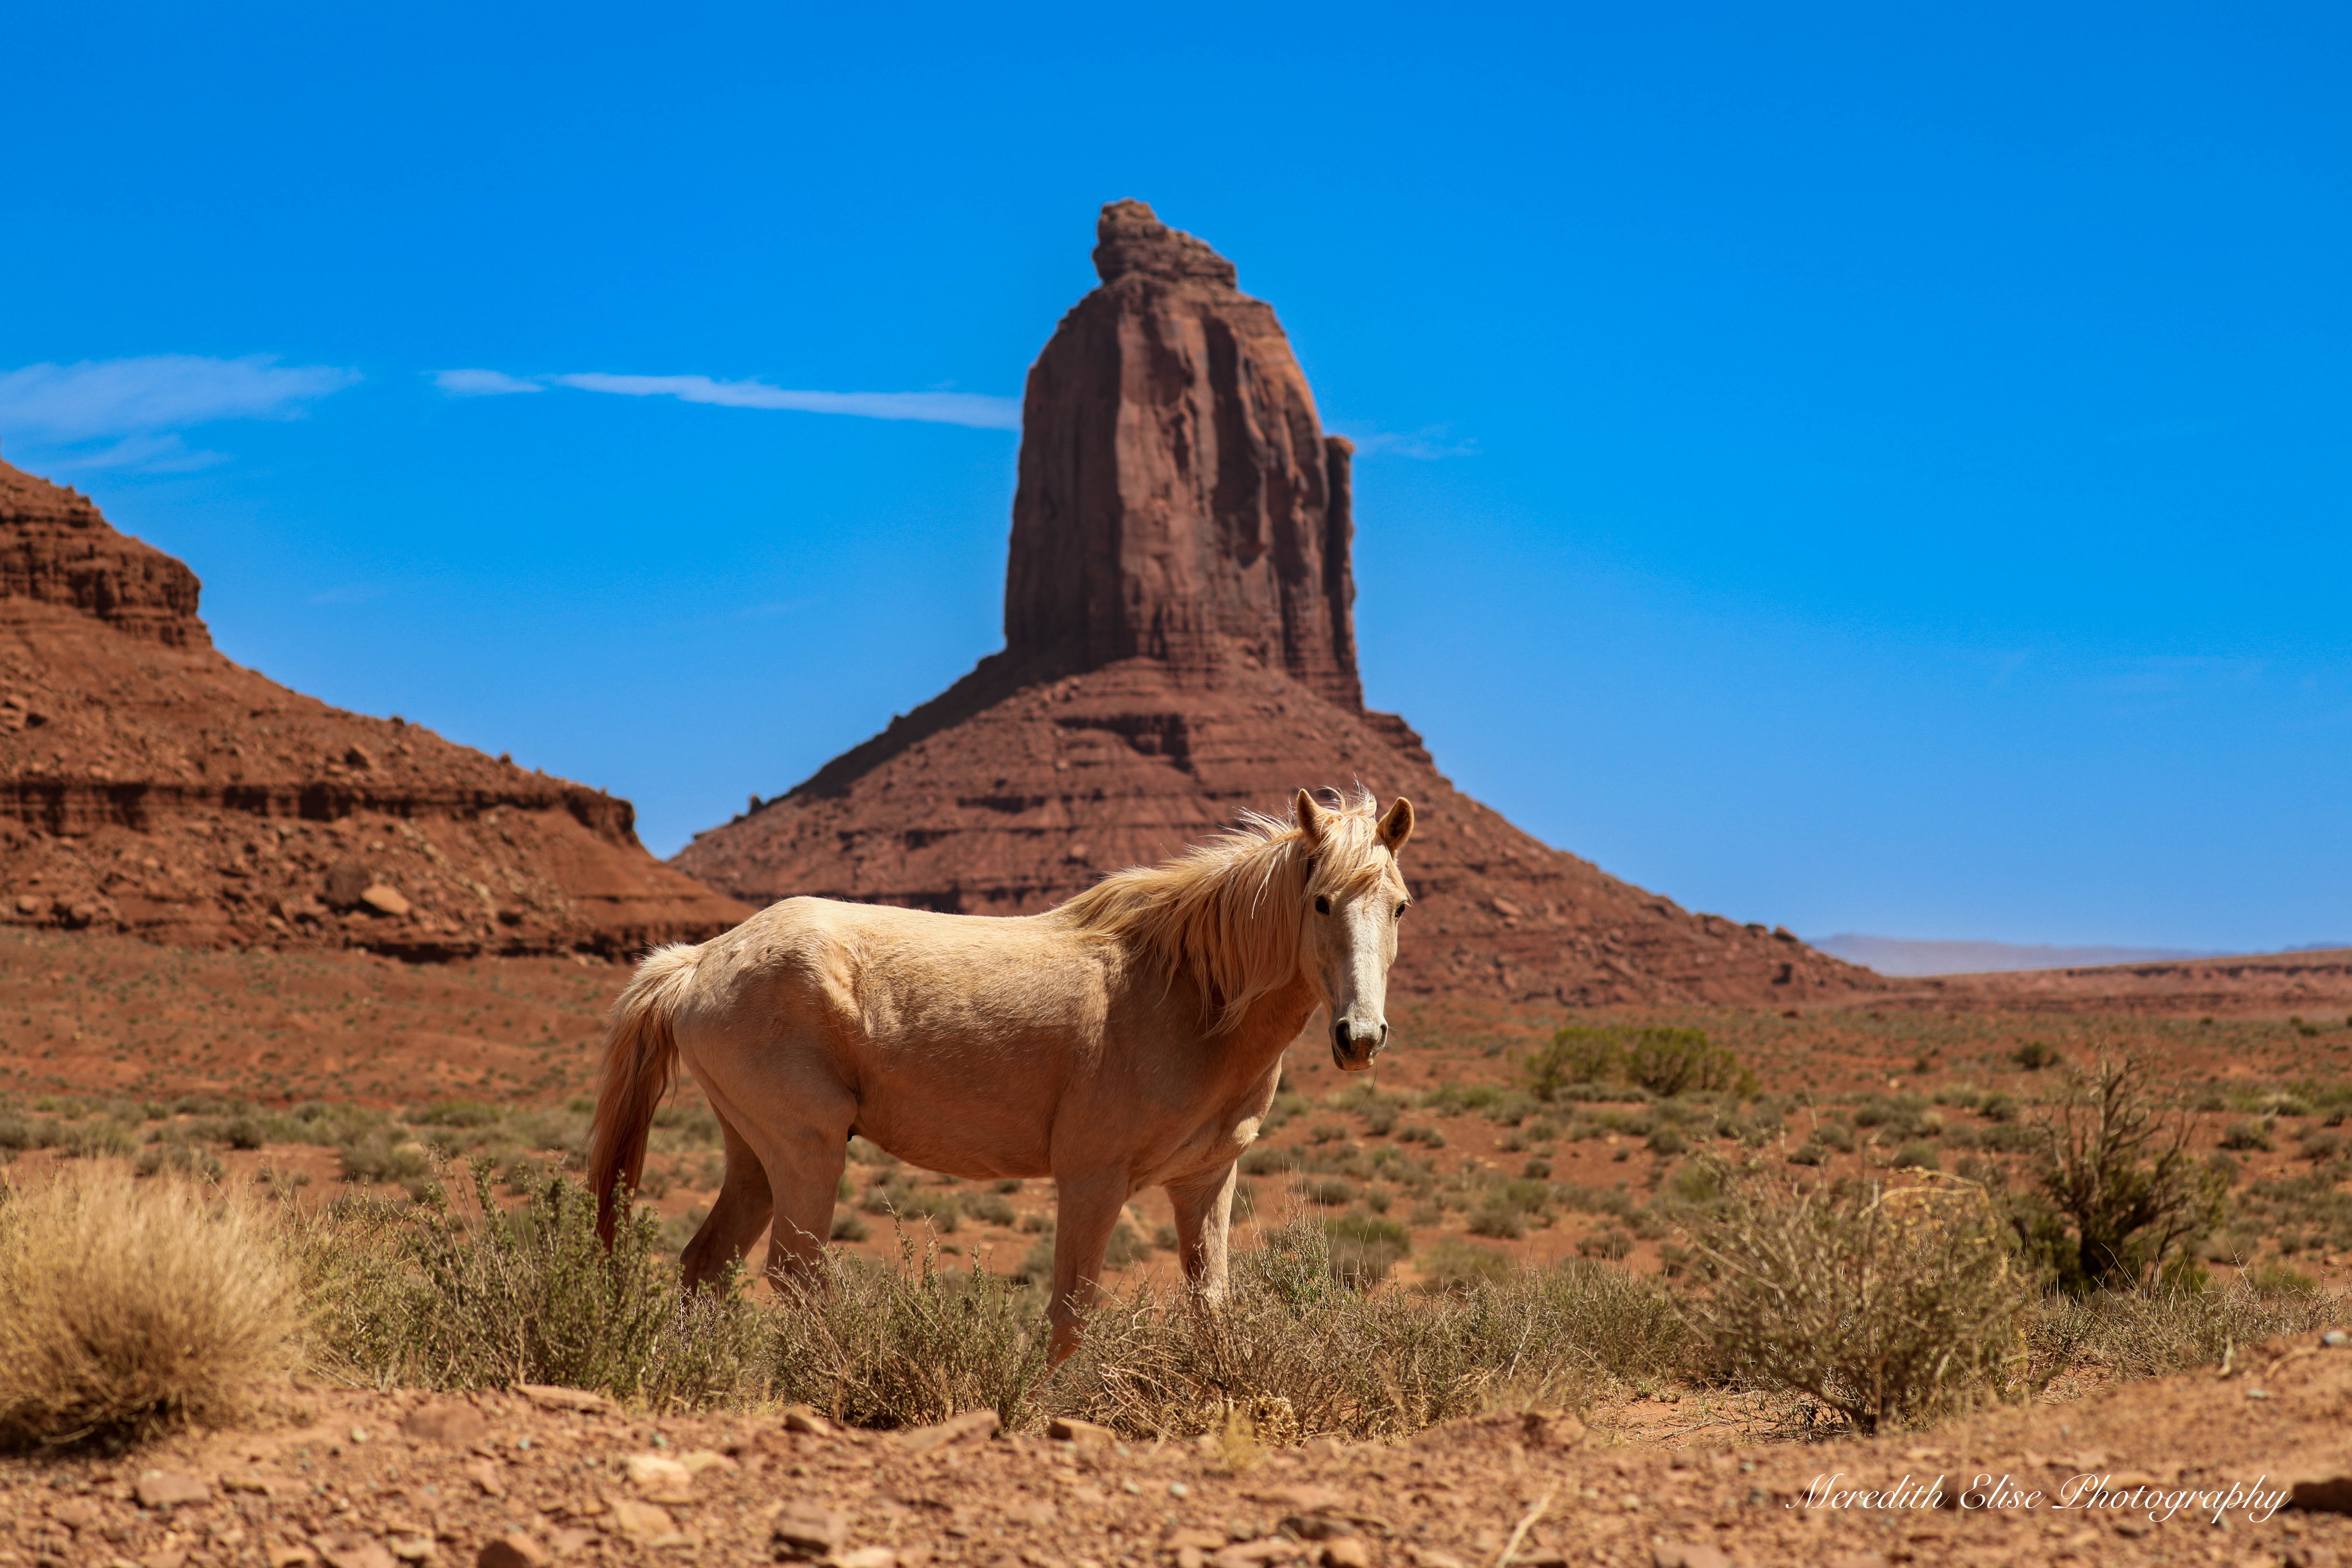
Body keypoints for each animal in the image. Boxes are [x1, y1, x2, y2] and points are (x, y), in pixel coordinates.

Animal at [587, 787, 1415, 1360]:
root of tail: (698, 961)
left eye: (1401, 905)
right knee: (797, 1276)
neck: (1189, 993)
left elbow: (1209, 1304)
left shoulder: (1206, 1179)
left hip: (755, 1155)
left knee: (706, 1265)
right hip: (806, 1151)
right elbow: (1071, 1311)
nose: (1360, 1037)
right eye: (1321, 901)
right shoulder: (1092, 1180)